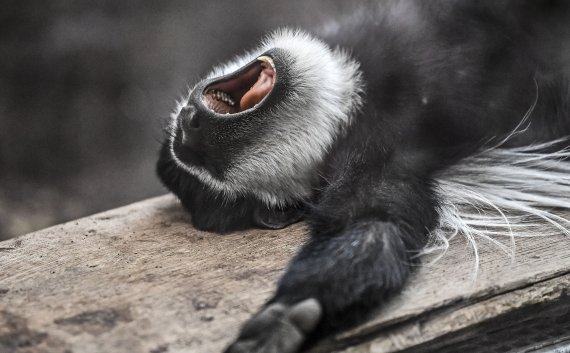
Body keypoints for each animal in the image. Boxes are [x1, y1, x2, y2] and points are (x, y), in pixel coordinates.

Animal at [154, 1, 568, 350]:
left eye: (189, 142)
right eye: (210, 165)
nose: (190, 122)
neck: (358, 98)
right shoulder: (380, 164)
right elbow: (375, 229)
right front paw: (283, 319)